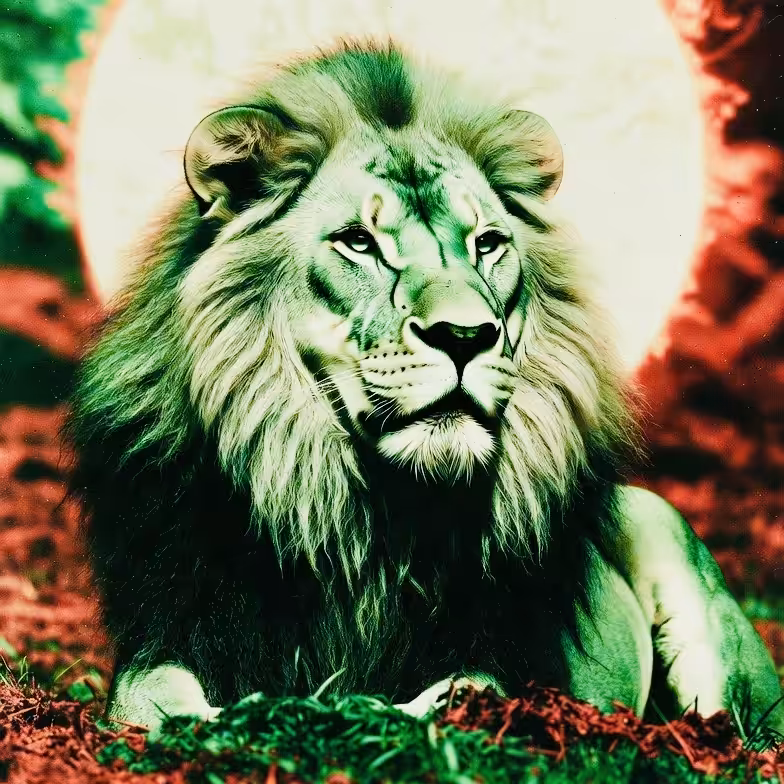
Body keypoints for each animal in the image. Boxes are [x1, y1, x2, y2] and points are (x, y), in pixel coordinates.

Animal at [67, 40, 784, 740]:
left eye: (487, 243)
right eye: (358, 242)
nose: (464, 335)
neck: (360, 518)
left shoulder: (499, 662)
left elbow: (454, 700)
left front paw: (345, 714)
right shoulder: (171, 629)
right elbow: (149, 700)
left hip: (667, 541)